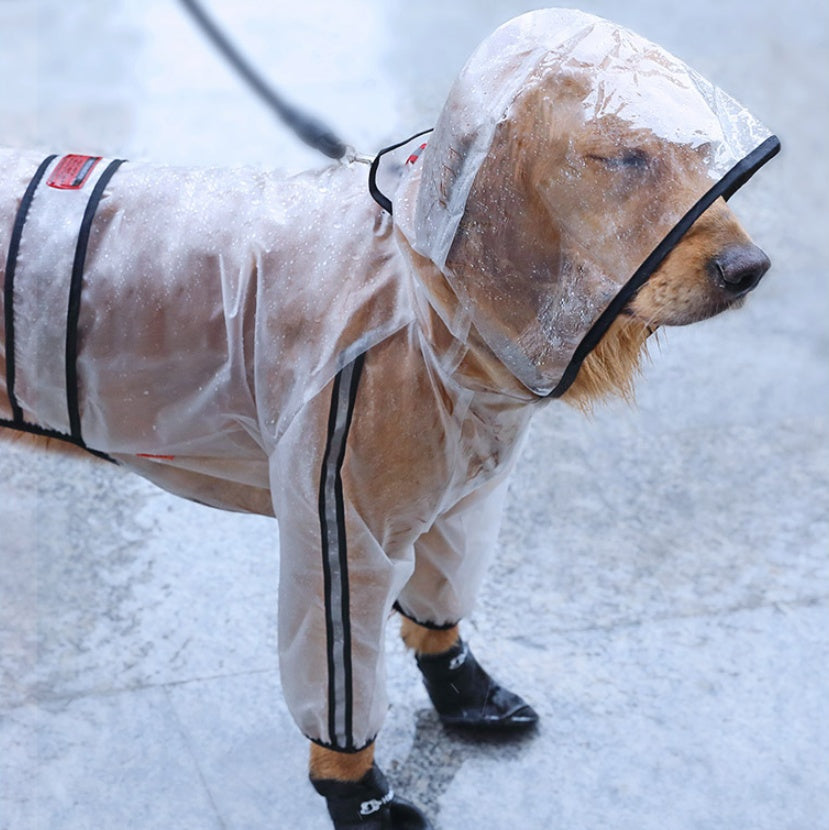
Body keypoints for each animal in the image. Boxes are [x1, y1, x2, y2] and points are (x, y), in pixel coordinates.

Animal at [0, 9, 776, 828]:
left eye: (703, 154)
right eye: (623, 156)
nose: (749, 269)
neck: (425, 296)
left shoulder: (465, 502)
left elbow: (441, 610)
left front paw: (464, 692)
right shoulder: (343, 530)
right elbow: (341, 681)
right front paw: (359, 794)